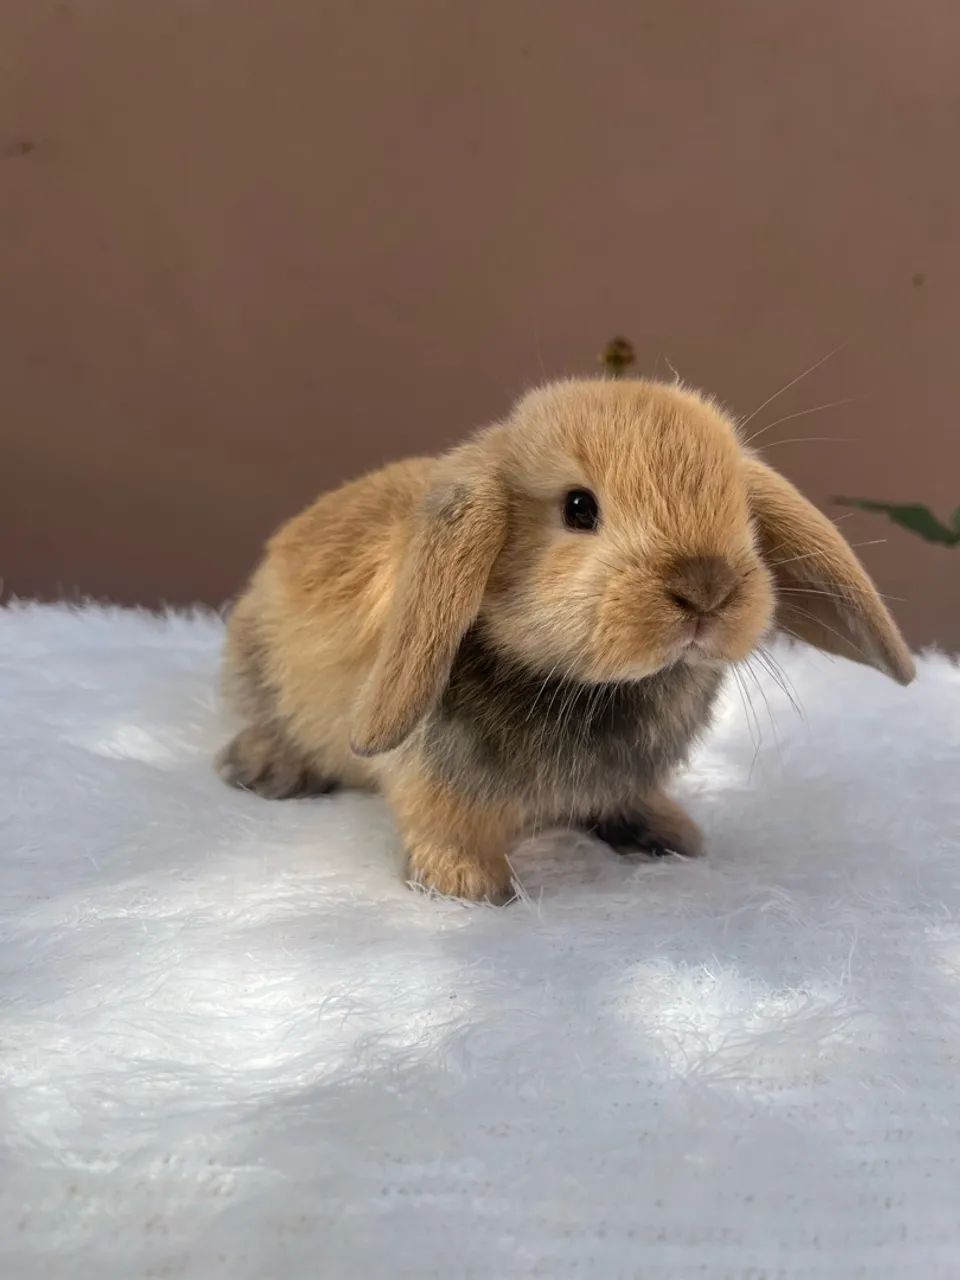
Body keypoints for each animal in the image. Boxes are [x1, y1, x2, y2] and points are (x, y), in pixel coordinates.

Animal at [217, 377, 914, 902]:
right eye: (580, 508)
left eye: (740, 508)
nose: (705, 587)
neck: (587, 687)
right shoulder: (436, 776)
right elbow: (443, 822)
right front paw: (470, 887)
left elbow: (628, 801)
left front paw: (672, 836)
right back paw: (264, 771)